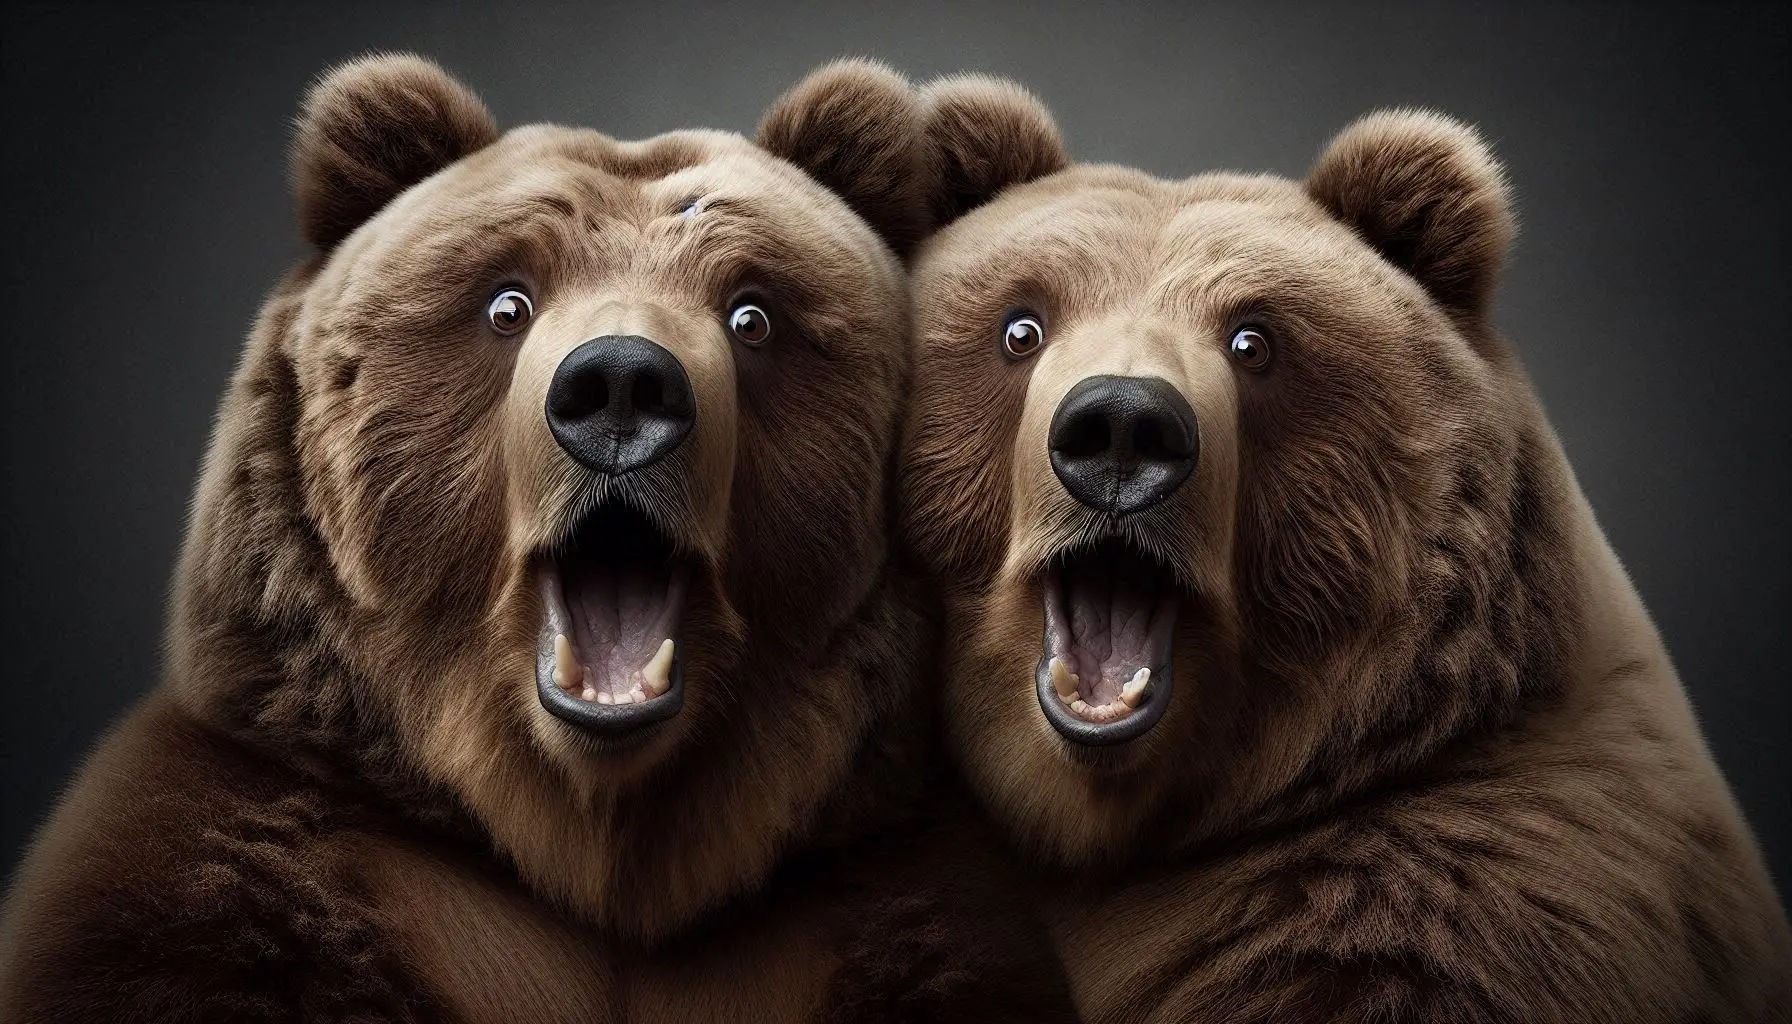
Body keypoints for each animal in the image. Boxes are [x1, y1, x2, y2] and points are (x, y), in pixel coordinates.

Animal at [0, 55, 1073, 1023]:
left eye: (753, 313)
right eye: (505, 302)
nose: (622, 387)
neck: (594, 839)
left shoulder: (888, 909)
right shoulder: (242, 866)